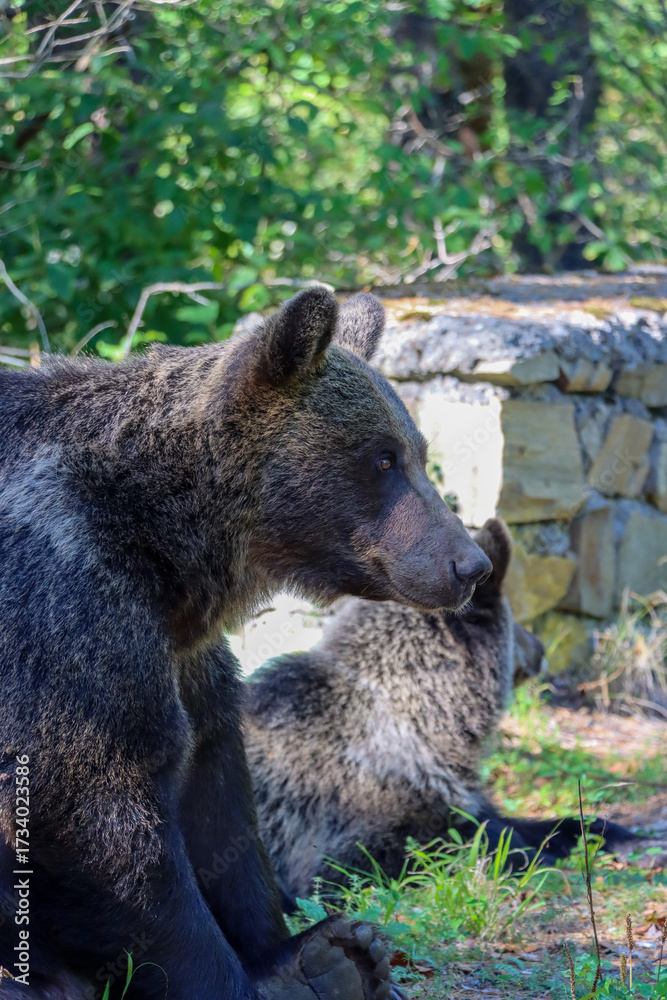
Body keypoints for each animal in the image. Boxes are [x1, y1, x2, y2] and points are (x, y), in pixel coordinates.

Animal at [0, 288, 493, 1000]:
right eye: (382, 458)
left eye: (417, 450)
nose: (471, 565)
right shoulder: (60, 601)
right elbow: (87, 800)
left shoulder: (185, 654)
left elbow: (220, 802)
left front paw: (319, 956)